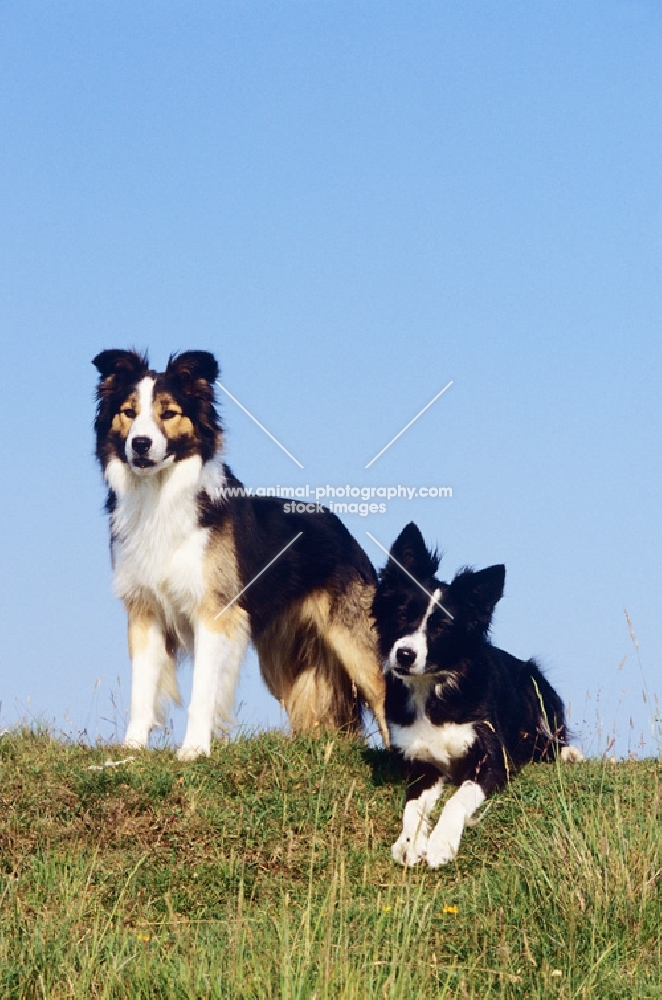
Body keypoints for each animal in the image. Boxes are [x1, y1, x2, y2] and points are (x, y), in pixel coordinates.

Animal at [91, 350, 386, 756]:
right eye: (129, 412)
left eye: (169, 413)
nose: (140, 444)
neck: (159, 497)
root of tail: (344, 532)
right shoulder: (144, 610)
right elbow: (142, 689)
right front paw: (132, 750)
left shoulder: (214, 613)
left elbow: (203, 691)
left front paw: (194, 751)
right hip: (282, 658)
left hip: (355, 642)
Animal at [376, 524, 584, 868]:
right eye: (403, 614)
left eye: (442, 627)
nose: (404, 655)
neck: (433, 689)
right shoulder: (421, 764)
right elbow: (412, 807)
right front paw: (409, 842)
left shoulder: (492, 760)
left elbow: (457, 800)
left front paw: (441, 843)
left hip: (535, 683)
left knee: (547, 740)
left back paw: (568, 753)